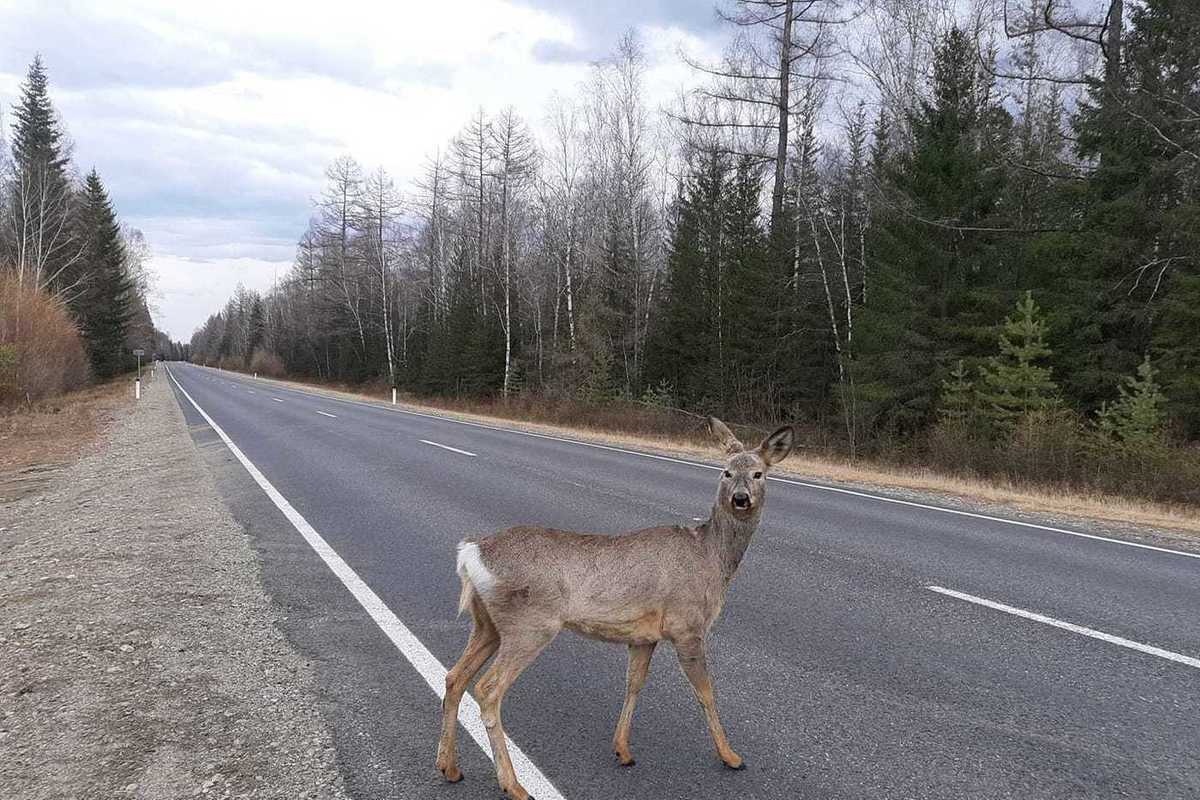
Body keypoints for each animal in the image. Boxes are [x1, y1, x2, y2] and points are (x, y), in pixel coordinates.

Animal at [436, 417, 792, 796]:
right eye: (726, 472)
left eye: (758, 473)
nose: (741, 499)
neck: (711, 557)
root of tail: (471, 552)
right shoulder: (687, 625)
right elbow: (706, 692)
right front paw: (730, 756)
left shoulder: (644, 636)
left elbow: (634, 683)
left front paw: (622, 749)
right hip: (530, 625)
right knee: (488, 689)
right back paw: (513, 786)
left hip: (487, 623)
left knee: (455, 677)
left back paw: (450, 767)